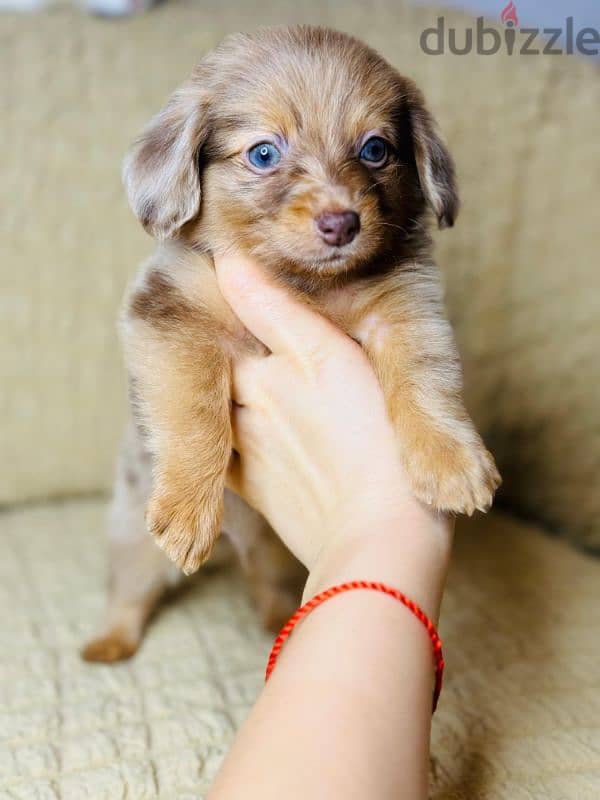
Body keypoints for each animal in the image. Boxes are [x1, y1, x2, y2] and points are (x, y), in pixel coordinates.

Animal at [82, 25, 500, 664]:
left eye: (375, 149)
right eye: (263, 154)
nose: (341, 223)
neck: (303, 284)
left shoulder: (405, 307)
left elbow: (426, 376)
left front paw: (449, 460)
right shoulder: (170, 314)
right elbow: (194, 411)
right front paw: (187, 505)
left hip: (277, 557)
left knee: (273, 590)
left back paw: (280, 622)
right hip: (133, 539)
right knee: (130, 592)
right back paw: (110, 641)